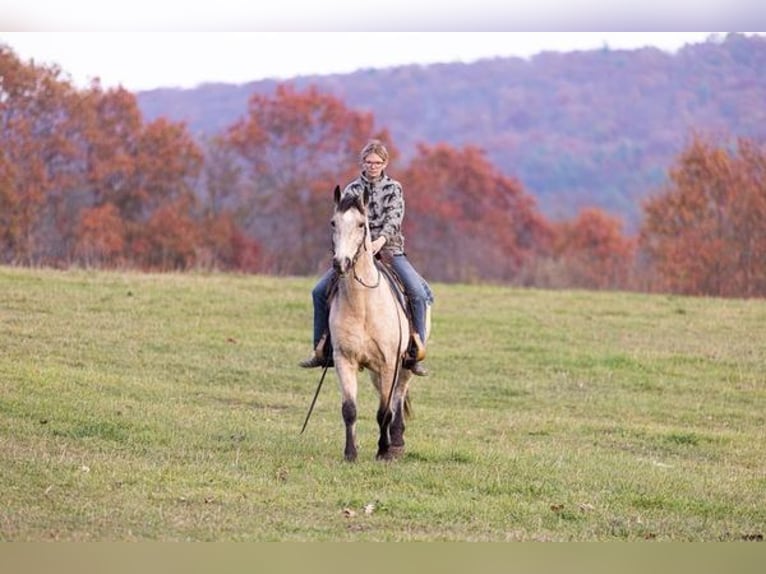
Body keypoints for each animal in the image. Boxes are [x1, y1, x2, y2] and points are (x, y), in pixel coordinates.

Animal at [328, 184, 428, 464]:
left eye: (362, 224)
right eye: (333, 223)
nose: (341, 263)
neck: (363, 305)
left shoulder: (389, 363)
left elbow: (384, 411)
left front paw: (384, 450)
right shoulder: (344, 360)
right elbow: (349, 409)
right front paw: (350, 453)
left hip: (403, 368)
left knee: (397, 398)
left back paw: (396, 443)